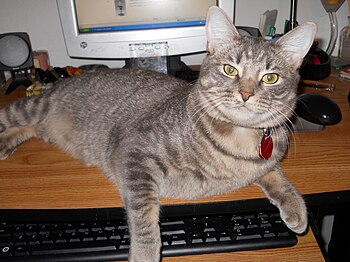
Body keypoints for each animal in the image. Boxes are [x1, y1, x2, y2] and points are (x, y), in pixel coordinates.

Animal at [0, 6, 316, 262]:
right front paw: (145, 254)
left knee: (32, 128)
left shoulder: (266, 160)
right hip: (33, 108)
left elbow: (277, 176)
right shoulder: (136, 155)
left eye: (270, 77)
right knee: (12, 117)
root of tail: (59, 83)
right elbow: (144, 216)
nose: (246, 94)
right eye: (230, 69)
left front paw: (296, 208)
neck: (238, 140)